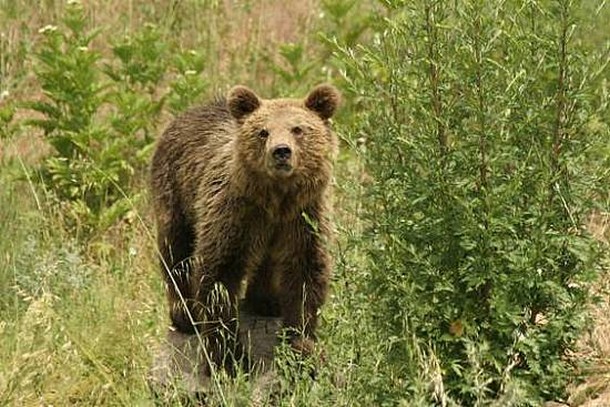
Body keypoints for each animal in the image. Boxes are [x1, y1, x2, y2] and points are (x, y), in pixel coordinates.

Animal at [150, 84, 340, 368]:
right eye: (263, 132)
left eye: (298, 128)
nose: (281, 151)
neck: (276, 200)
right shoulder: (234, 214)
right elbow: (218, 275)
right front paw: (230, 358)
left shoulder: (303, 218)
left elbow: (304, 276)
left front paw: (301, 344)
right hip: (176, 193)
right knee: (176, 252)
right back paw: (184, 315)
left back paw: (266, 301)